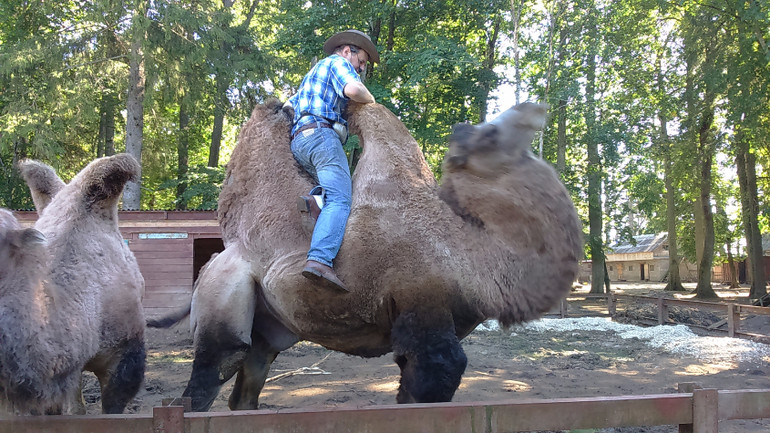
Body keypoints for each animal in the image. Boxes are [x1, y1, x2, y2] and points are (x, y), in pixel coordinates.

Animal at [156, 99, 582, 411]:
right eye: (491, 133)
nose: (535, 108)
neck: (471, 255)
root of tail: (214, 260)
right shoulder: (424, 313)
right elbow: (437, 377)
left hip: (269, 327)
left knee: (247, 386)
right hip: (223, 295)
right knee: (212, 372)